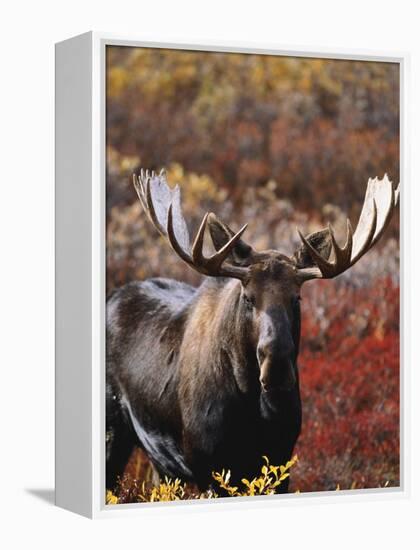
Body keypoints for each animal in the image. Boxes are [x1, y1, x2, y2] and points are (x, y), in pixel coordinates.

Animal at [106, 170, 400, 494]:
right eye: (248, 297)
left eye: (297, 298)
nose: (277, 367)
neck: (250, 406)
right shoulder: (207, 466)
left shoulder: (280, 460)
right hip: (114, 433)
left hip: (161, 464)